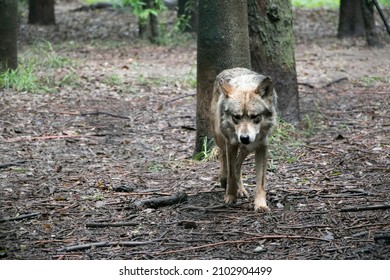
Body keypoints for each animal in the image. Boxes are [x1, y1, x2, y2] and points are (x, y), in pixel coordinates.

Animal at [210, 66, 278, 210]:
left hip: (248, 148)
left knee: (238, 164)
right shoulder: (231, 144)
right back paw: (224, 179)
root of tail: (231, 68)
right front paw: (230, 197)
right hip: (221, 137)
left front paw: (260, 205)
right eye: (236, 117)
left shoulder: (262, 146)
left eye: (255, 116)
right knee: (223, 156)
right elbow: (231, 173)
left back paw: (240, 189)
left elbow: (260, 182)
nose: (244, 138)